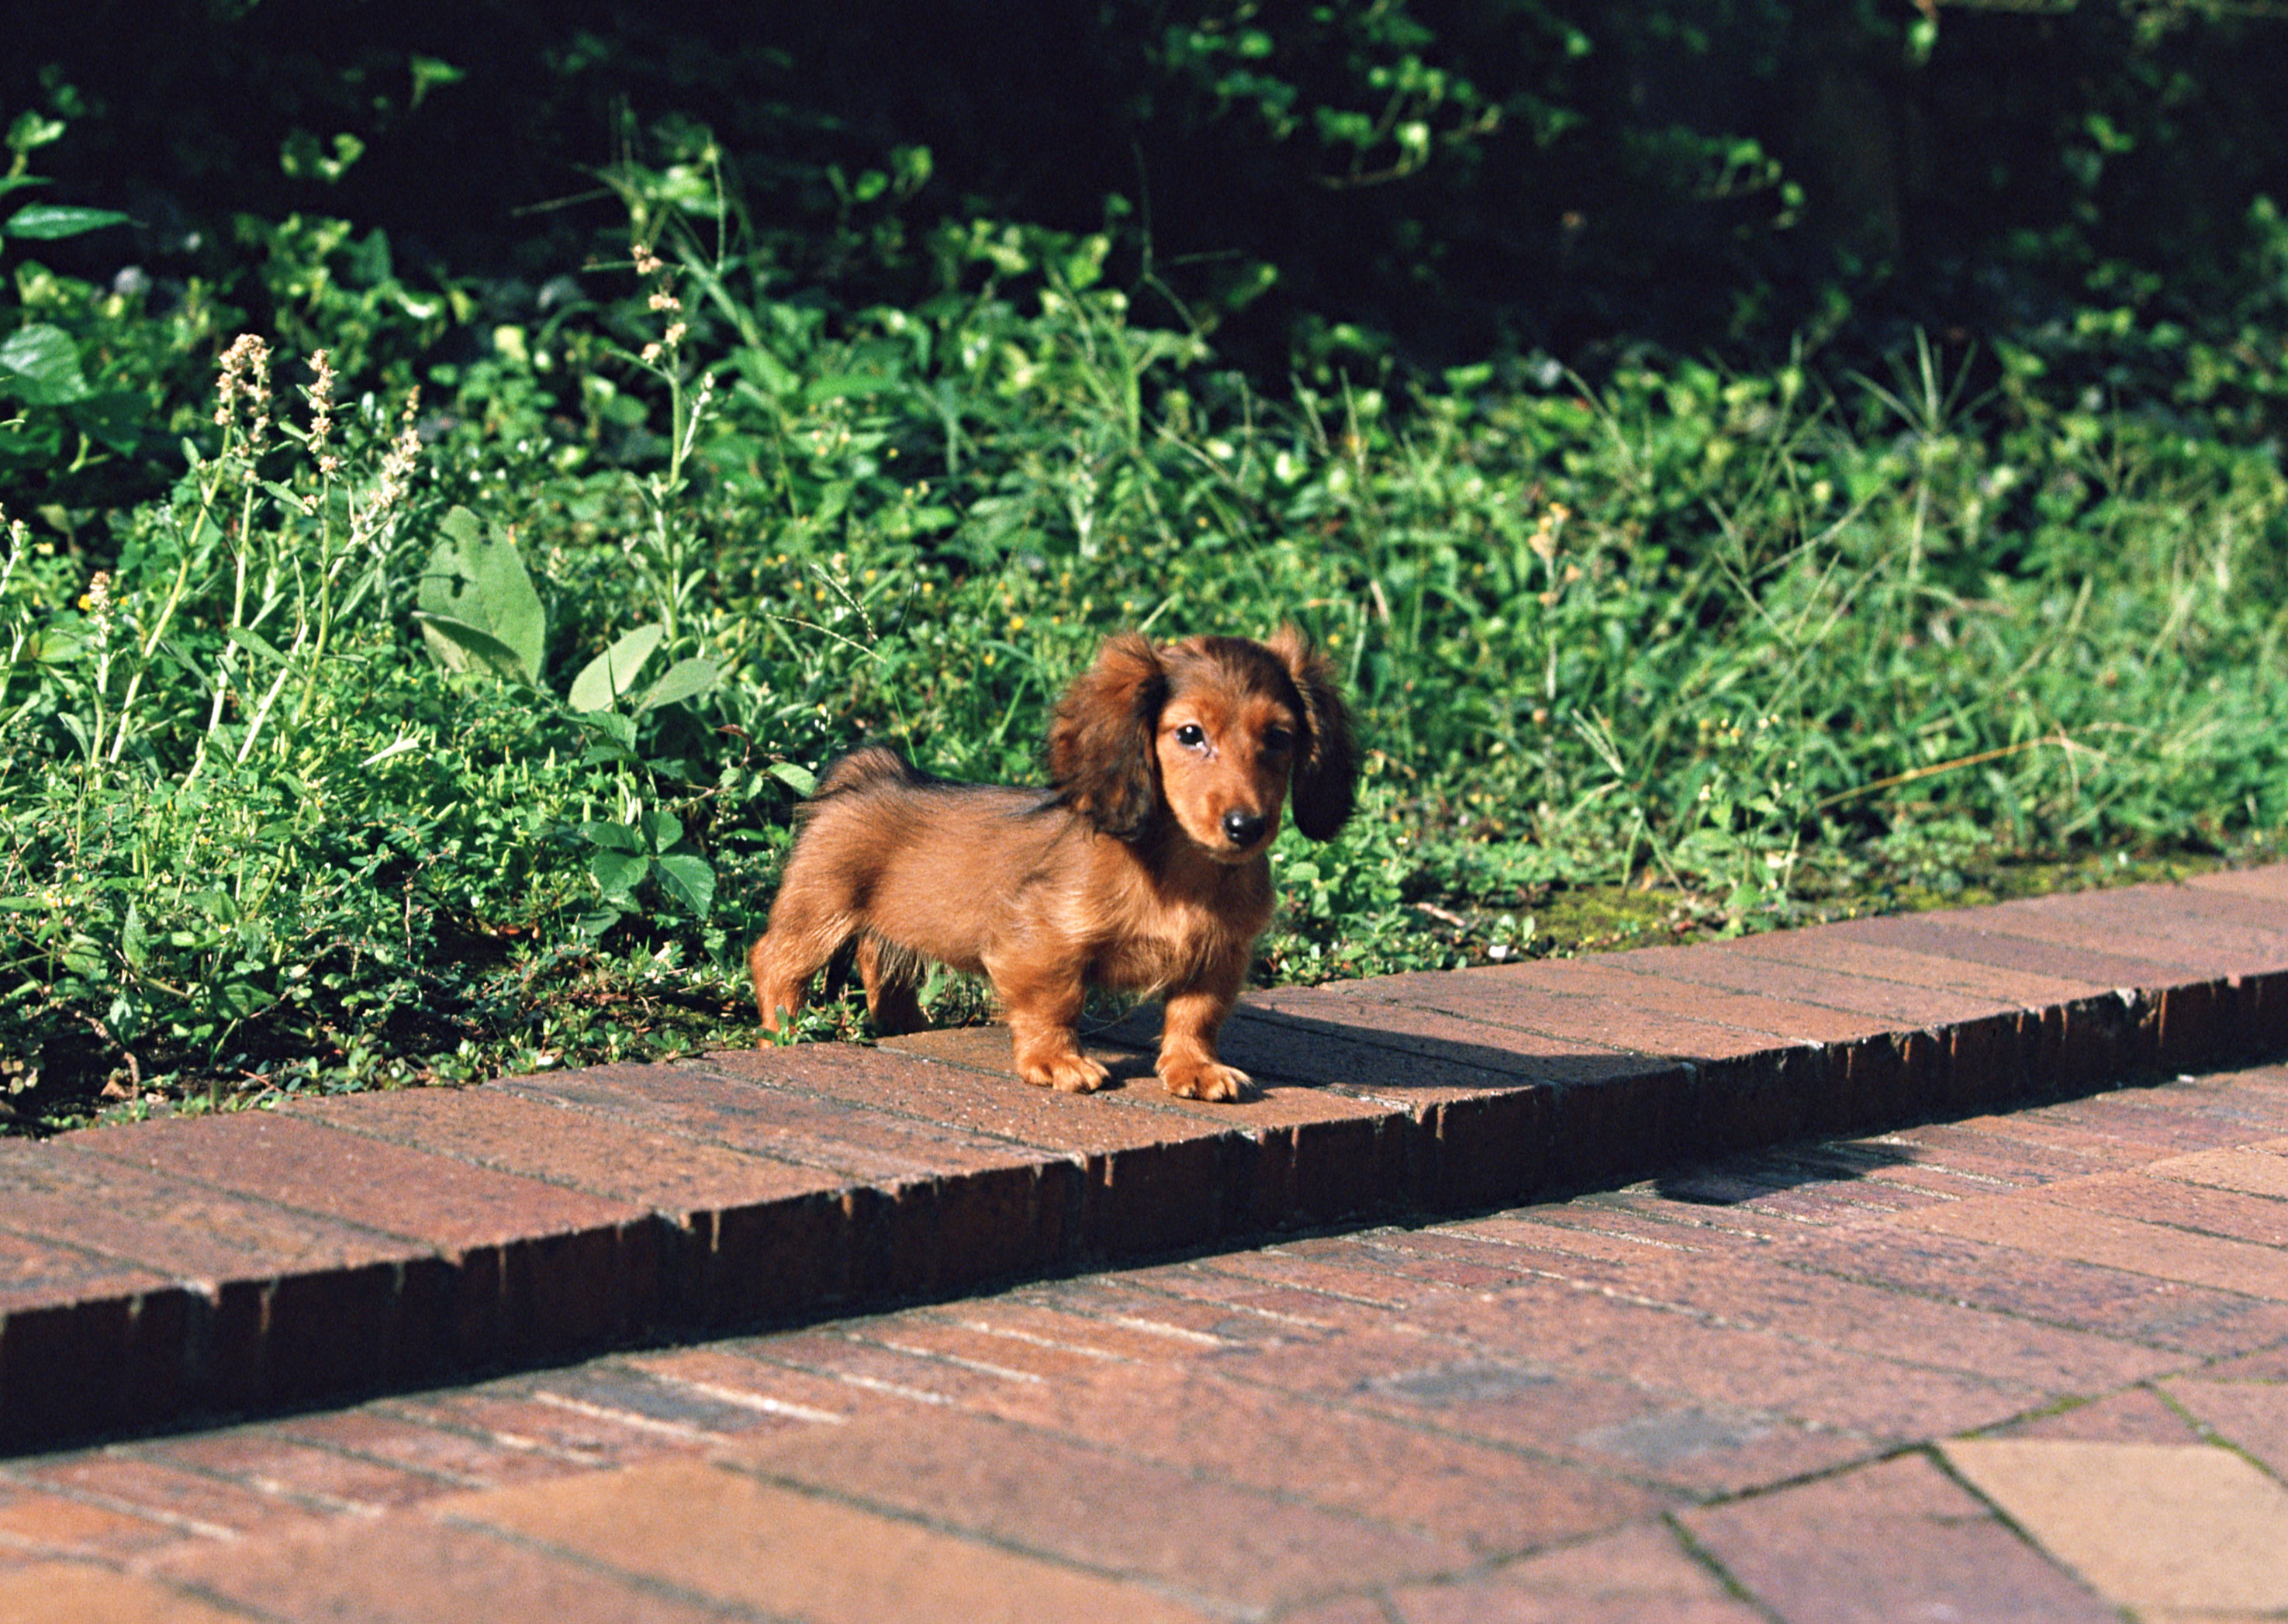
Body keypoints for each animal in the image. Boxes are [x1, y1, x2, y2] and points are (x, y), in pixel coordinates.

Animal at [750, 631, 1354, 1102]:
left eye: (1279, 737)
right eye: (1190, 734)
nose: (1246, 826)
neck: (1182, 874)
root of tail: (869, 774)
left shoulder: (1218, 957)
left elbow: (1196, 1016)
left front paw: (1195, 1069)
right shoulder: (1041, 940)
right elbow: (1054, 1004)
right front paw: (1056, 1062)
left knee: (884, 974)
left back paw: (907, 1027)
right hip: (819, 910)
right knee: (774, 964)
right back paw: (782, 1034)